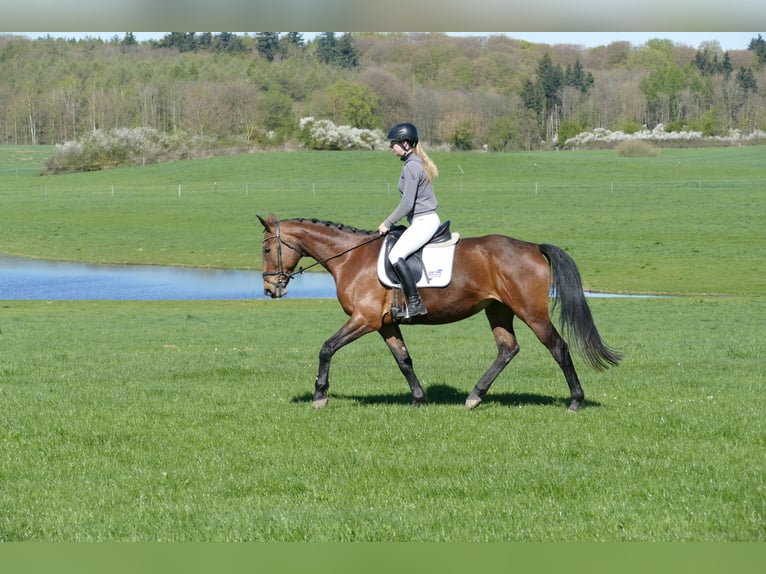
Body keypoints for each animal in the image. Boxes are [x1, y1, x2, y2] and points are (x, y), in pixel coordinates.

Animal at [258, 213, 622, 412]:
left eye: (267, 249)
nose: (270, 289)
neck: (350, 257)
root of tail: (533, 247)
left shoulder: (364, 319)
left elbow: (327, 347)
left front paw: (320, 395)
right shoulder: (385, 324)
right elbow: (403, 359)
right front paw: (419, 398)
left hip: (531, 312)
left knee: (558, 347)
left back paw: (575, 400)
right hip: (499, 310)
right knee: (507, 349)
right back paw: (474, 396)